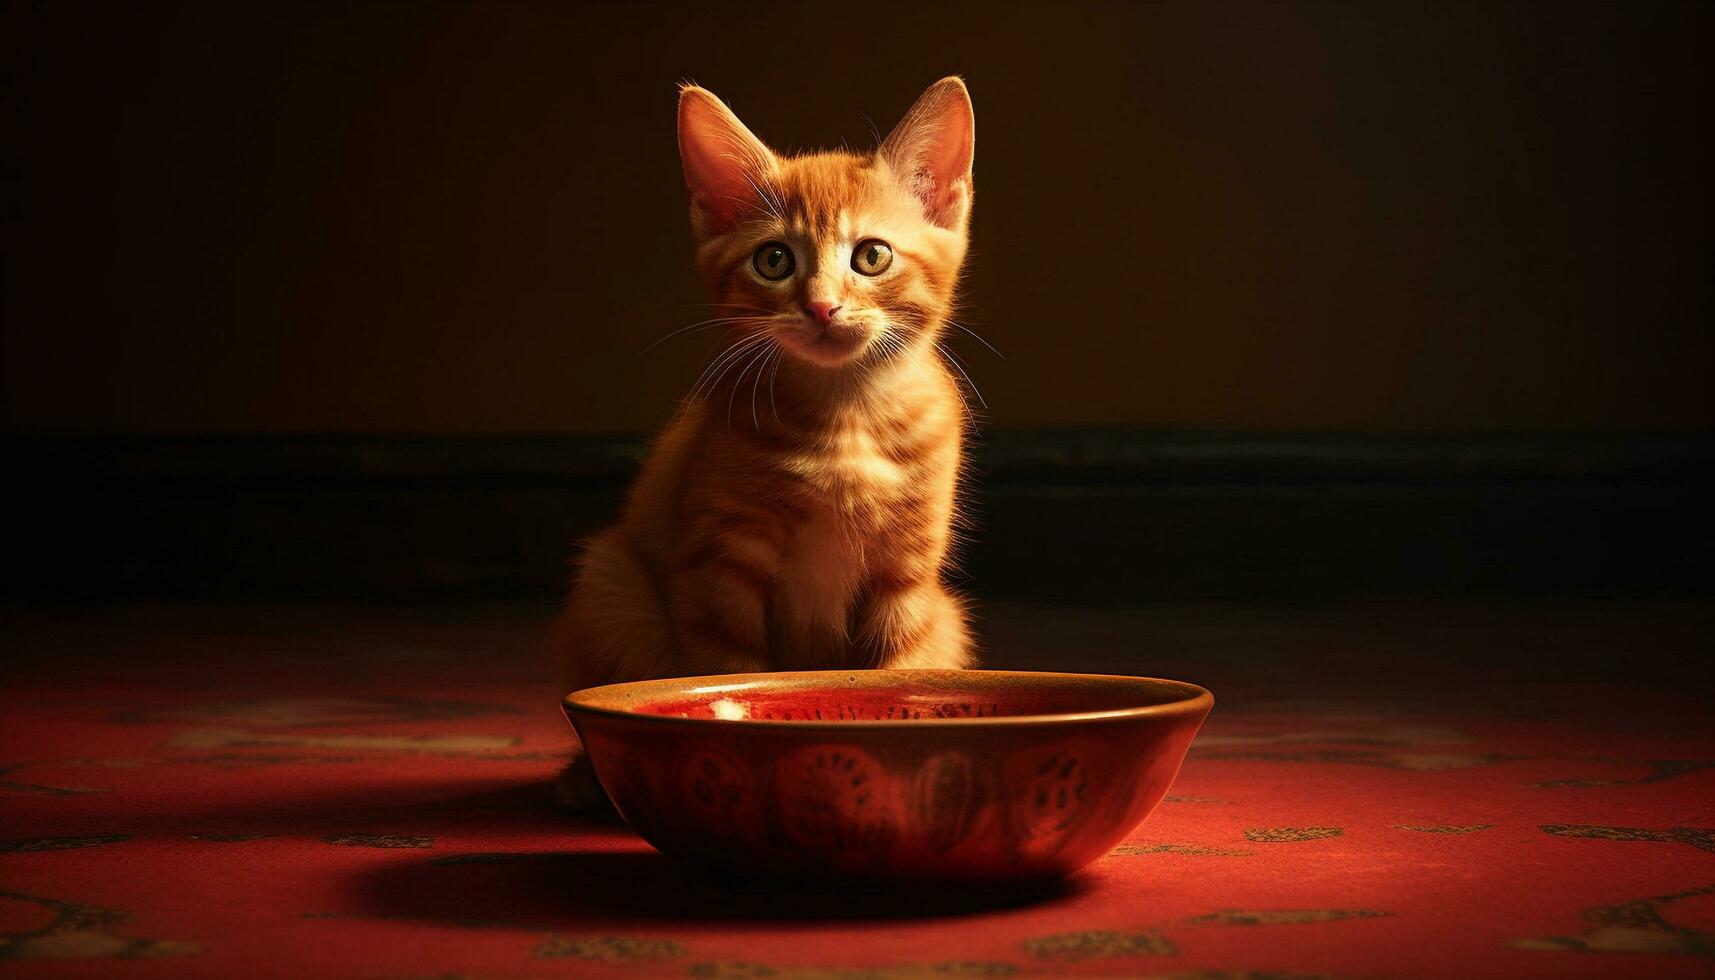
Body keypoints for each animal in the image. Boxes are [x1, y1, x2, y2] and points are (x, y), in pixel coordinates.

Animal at [552, 78, 980, 813]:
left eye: (870, 255)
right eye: (773, 260)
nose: (821, 307)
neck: (845, 424)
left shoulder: (908, 577)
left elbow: (898, 674)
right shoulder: (721, 564)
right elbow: (727, 675)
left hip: (947, 619)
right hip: (611, 582)